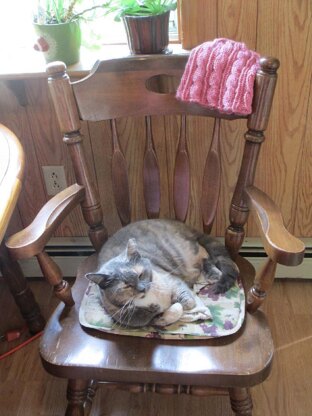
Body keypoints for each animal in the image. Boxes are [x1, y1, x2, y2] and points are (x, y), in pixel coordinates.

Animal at [86, 219, 239, 330]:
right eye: (126, 286)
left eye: (140, 275)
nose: (142, 289)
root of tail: (187, 227)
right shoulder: (136, 319)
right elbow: (168, 314)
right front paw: (165, 314)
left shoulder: (172, 279)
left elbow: (185, 300)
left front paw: (183, 303)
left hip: (188, 251)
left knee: (206, 258)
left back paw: (213, 274)